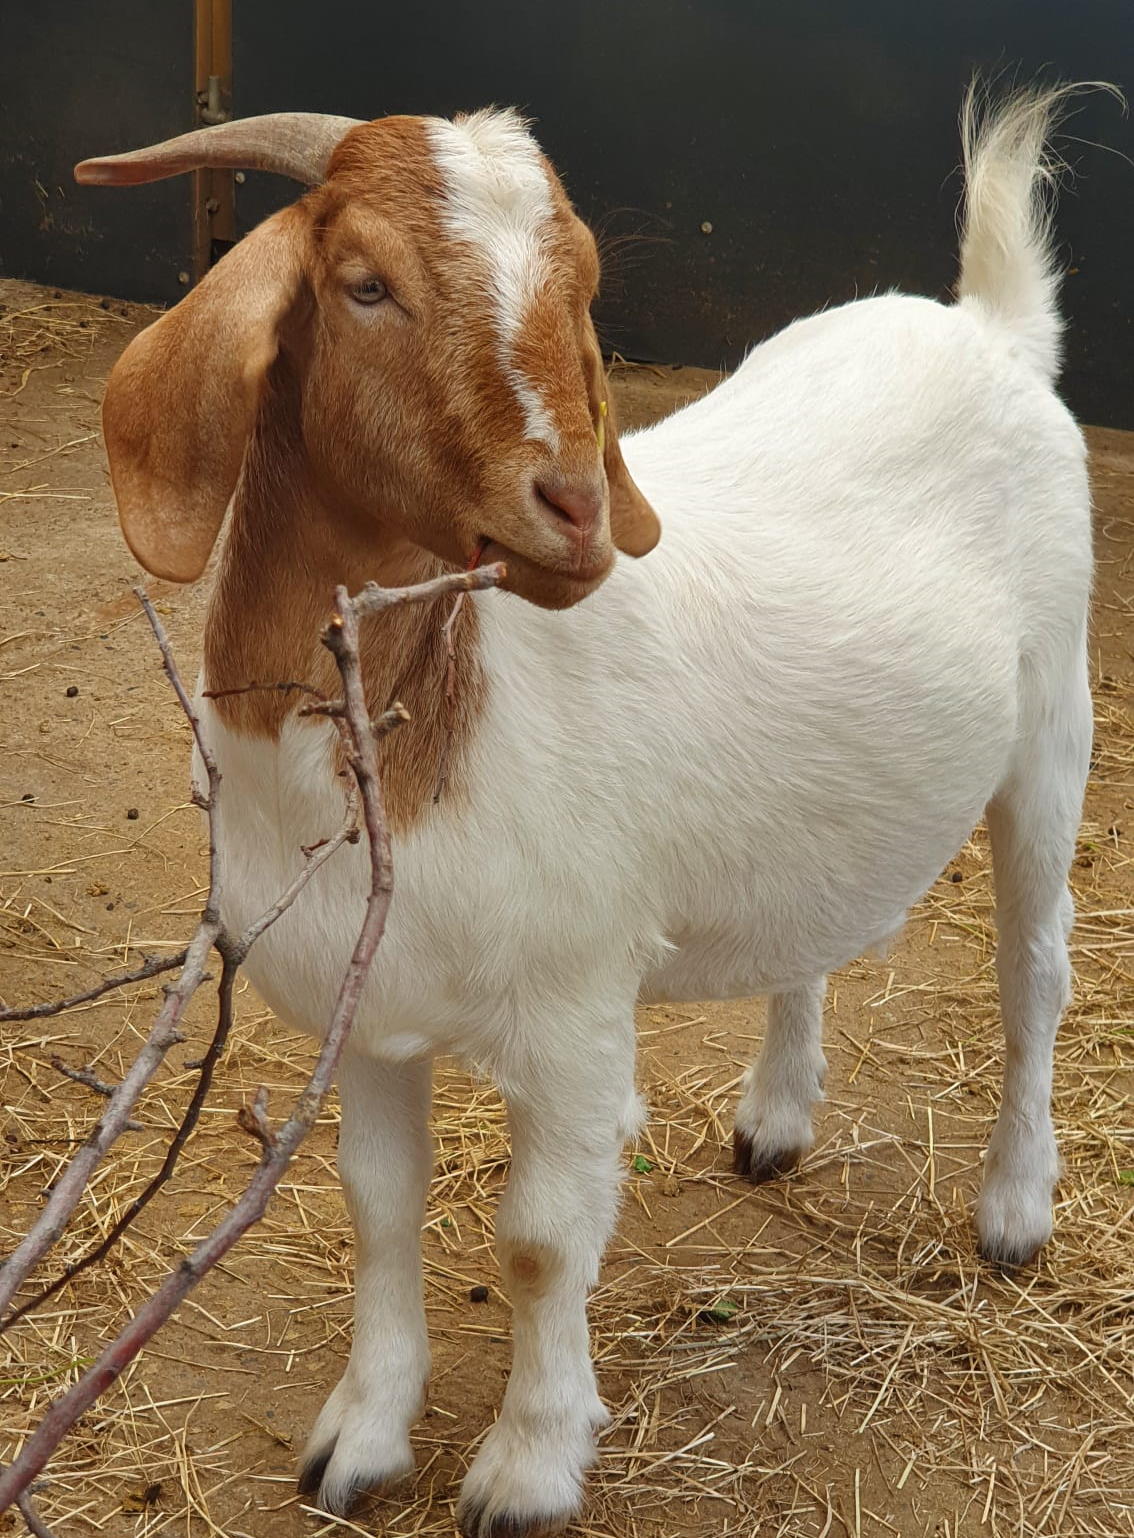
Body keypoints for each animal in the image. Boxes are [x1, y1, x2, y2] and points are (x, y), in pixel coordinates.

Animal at [75, 87, 1095, 1538]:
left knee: (1033, 975)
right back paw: (777, 1115)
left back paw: (1012, 1208)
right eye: (365, 282)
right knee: (815, 933)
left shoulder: (565, 1009)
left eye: (583, 288)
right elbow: (378, 1205)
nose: (576, 511)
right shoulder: (365, 1007)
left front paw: (528, 1462)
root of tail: (988, 328)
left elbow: (542, 1242)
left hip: (1052, 724)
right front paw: (360, 1437)